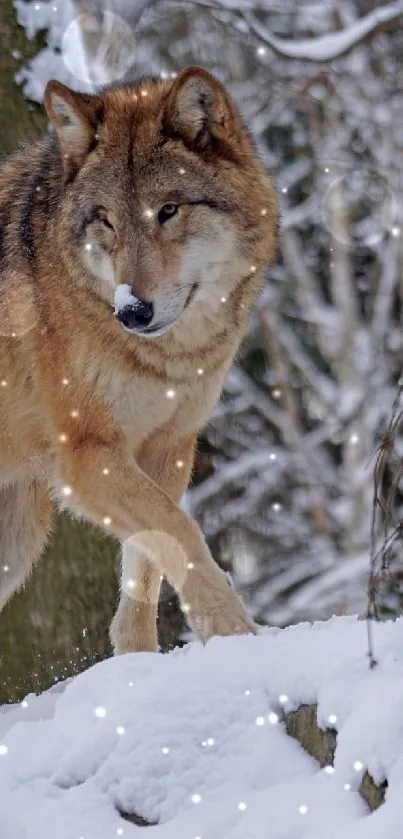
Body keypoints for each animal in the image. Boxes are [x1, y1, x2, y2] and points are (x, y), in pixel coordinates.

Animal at [0, 67, 276, 656]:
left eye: (168, 210)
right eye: (105, 220)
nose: (131, 310)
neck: (166, 360)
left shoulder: (167, 446)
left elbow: (148, 564)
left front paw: (138, 660)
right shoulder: (87, 456)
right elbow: (181, 532)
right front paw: (234, 633)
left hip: (18, 535)